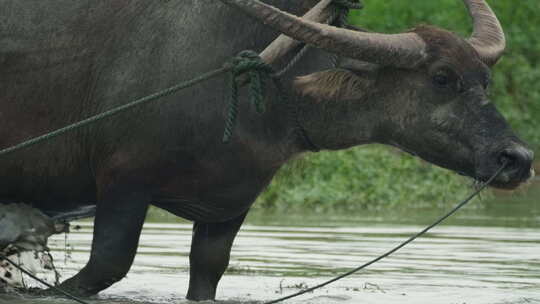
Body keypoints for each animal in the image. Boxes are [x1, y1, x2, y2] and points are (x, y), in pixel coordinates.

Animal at [0, 0, 532, 300]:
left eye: (484, 79)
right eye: (442, 77)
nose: (518, 159)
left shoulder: (229, 206)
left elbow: (208, 271)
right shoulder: (123, 184)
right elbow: (105, 267)